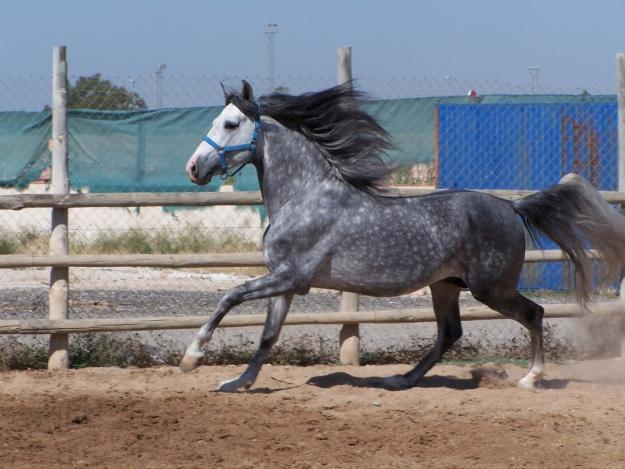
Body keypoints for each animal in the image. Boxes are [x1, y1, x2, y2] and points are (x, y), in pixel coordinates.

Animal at [178, 81, 624, 392]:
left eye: (230, 123)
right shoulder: (285, 283)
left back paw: (531, 379)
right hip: (446, 285)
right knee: (450, 333)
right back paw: (400, 380)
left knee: (534, 314)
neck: (304, 197)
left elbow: (230, 296)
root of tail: (511, 208)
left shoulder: (290, 277)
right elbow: (267, 336)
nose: (193, 168)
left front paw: (192, 357)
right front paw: (238, 383)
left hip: (491, 288)